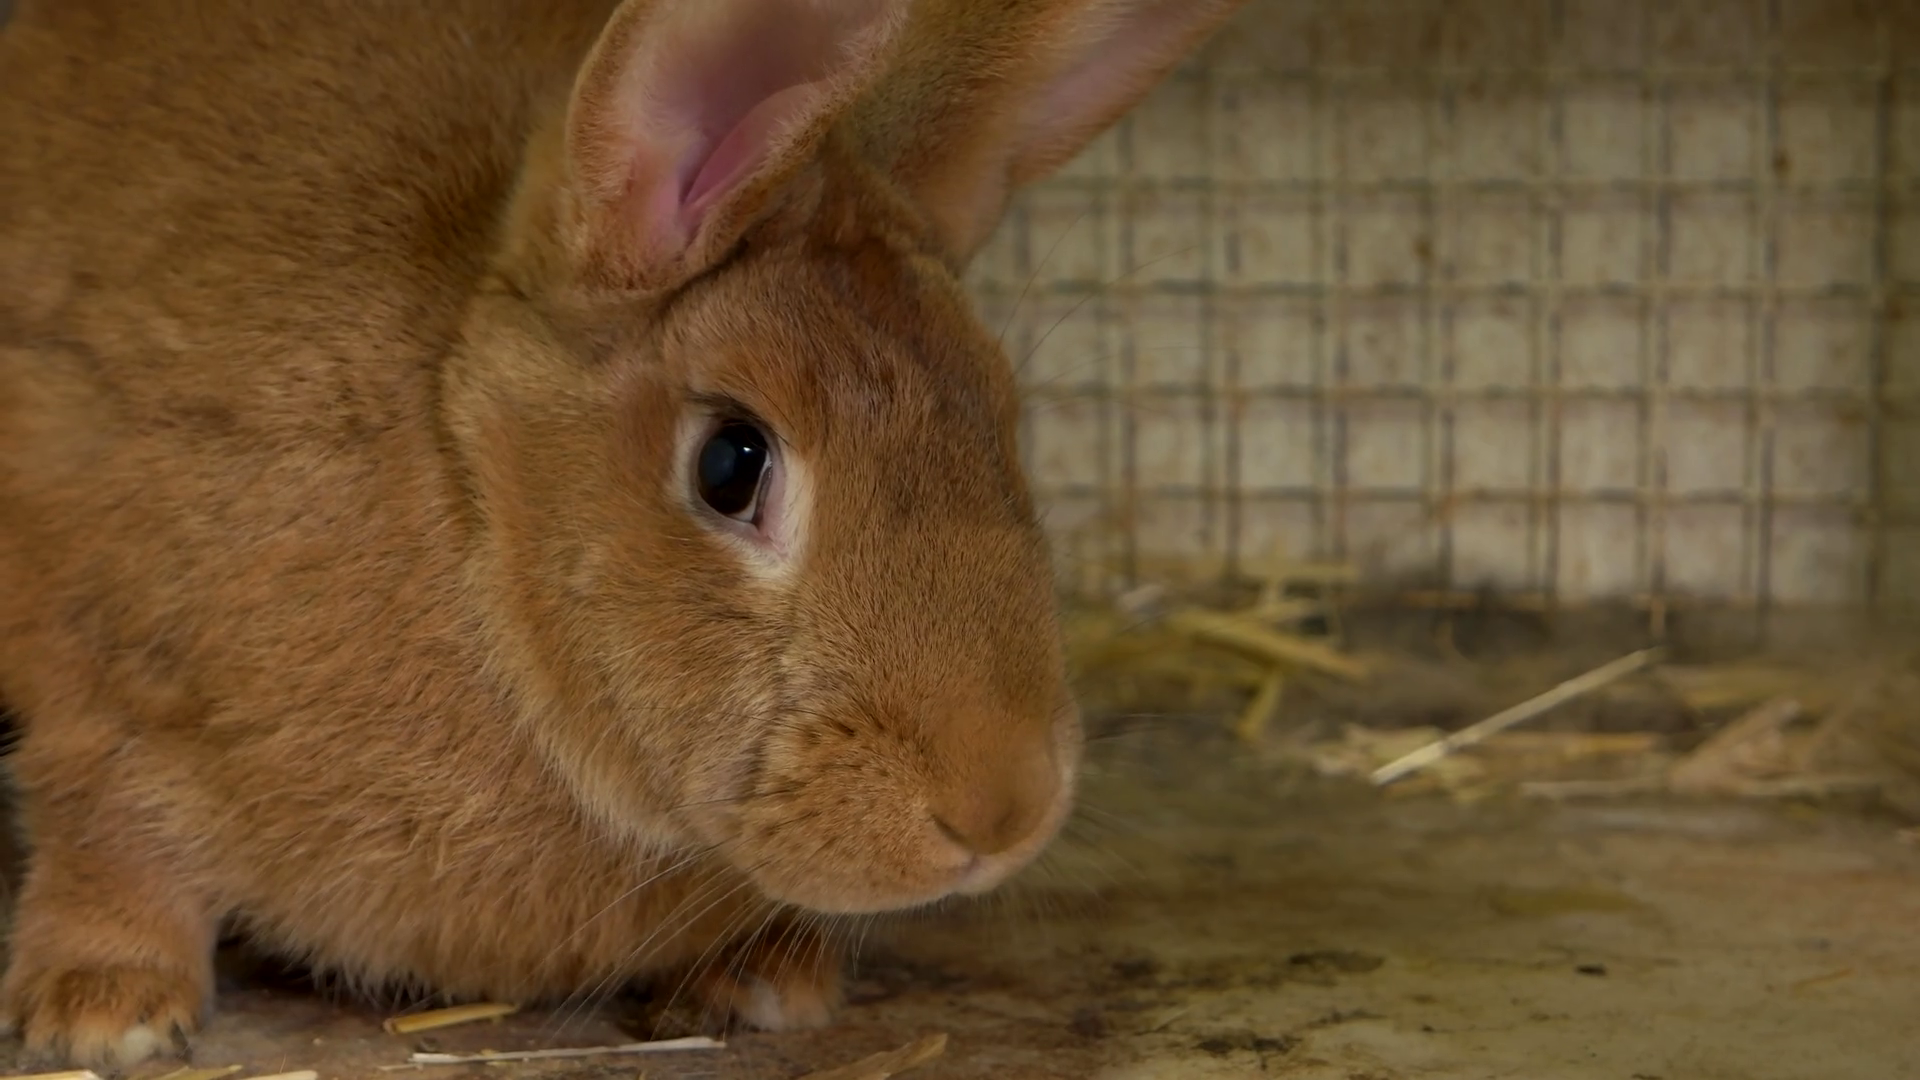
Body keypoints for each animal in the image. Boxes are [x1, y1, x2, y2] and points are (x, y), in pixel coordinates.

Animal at [0, 0, 1246, 1068]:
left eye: (1001, 413)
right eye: (731, 463)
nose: (1002, 811)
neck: (474, 508)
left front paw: (766, 984)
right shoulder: (92, 652)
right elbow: (108, 815)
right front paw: (104, 1014)